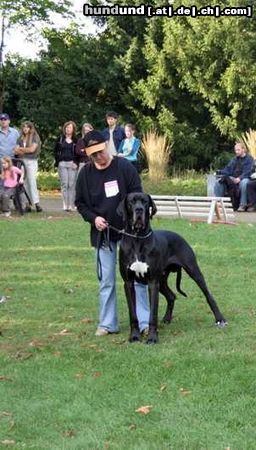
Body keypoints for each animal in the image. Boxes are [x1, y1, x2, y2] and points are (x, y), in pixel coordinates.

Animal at [117, 192, 227, 342]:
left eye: (145, 202)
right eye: (131, 202)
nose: (139, 210)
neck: (137, 238)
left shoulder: (153, 282)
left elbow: (153, 313)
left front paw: (152, 338)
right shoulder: (128, 283)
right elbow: (132, 313)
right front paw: (134, 336)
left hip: (193, 271)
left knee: (208, 295)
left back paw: (220, 319)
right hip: (162, 280)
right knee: (171, 296)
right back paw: (167, 319)